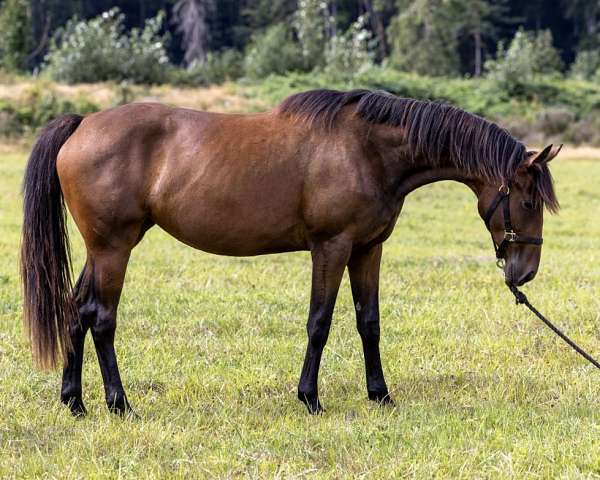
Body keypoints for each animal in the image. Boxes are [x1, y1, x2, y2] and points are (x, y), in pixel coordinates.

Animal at [19, 88, 564, 414]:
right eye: (529, 201)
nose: (525, 272)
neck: (367, 150)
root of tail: (83, 123)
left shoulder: (368, 249)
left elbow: (369, 322)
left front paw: (380, 395)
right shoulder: (332, 247)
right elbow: (319, 321)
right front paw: (310, 399)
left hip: (102, 249)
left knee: (76, 311)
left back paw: (74, 402)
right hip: (114, 248)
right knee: (101, 317)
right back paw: (119, 404)